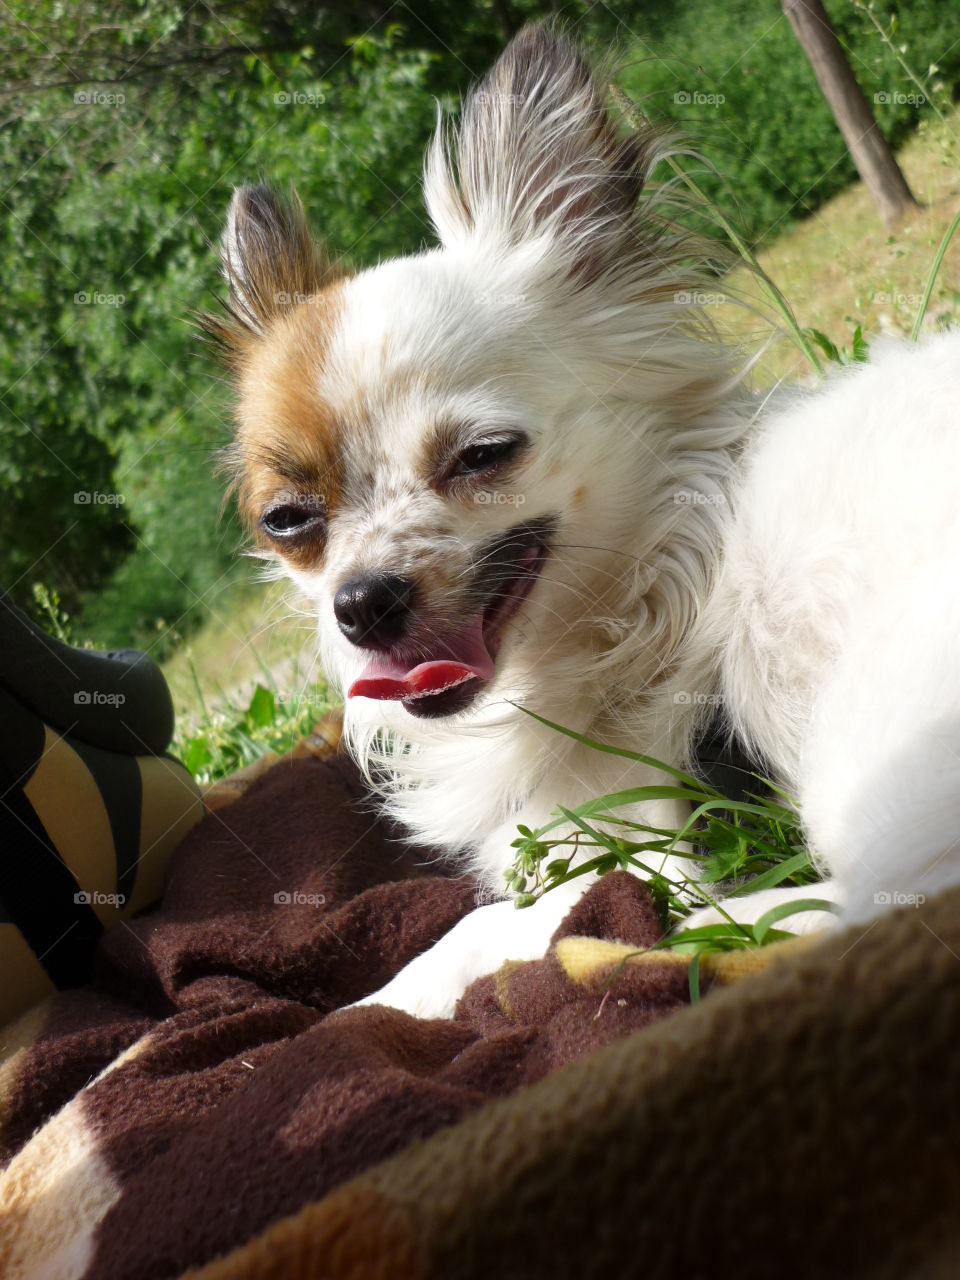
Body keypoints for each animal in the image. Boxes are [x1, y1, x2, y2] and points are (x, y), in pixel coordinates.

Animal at [207, 27, 960, 1018]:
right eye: (288, 519)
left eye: (483, 455)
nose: (362, 601)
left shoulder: (636, 843)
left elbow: (503, 922)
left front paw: (370, 1010)